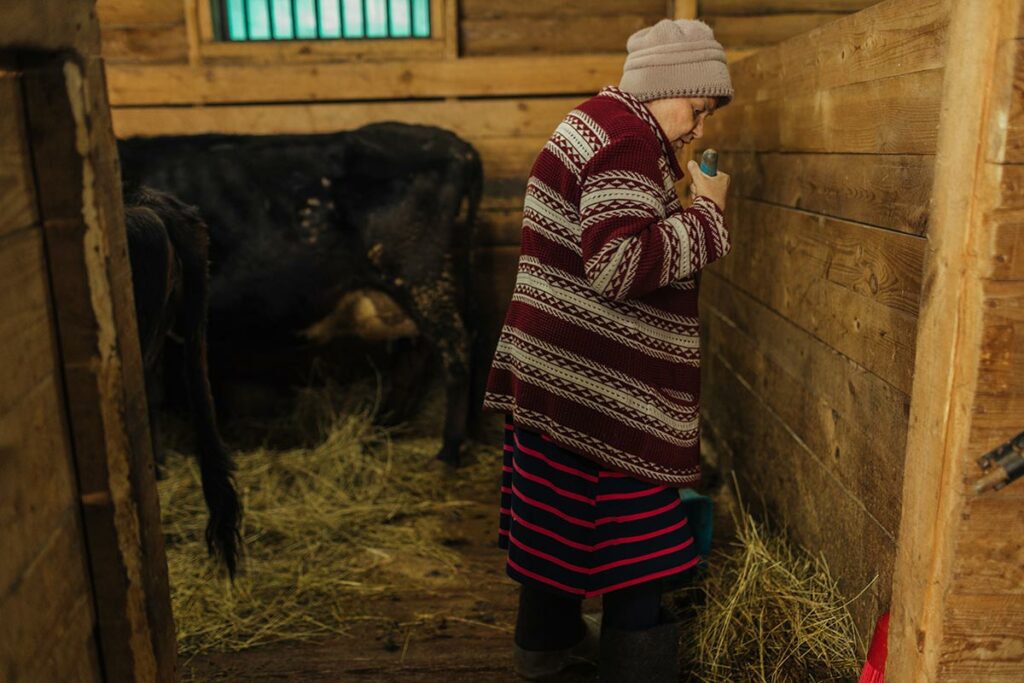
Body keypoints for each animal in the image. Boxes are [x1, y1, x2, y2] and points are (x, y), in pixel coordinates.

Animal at [117, 121, 485, 464]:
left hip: (420, 274)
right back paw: (379, 429)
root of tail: (457, 145)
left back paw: (447, 450)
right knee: (416, 356)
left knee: (455, 350)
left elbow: (147, 394)